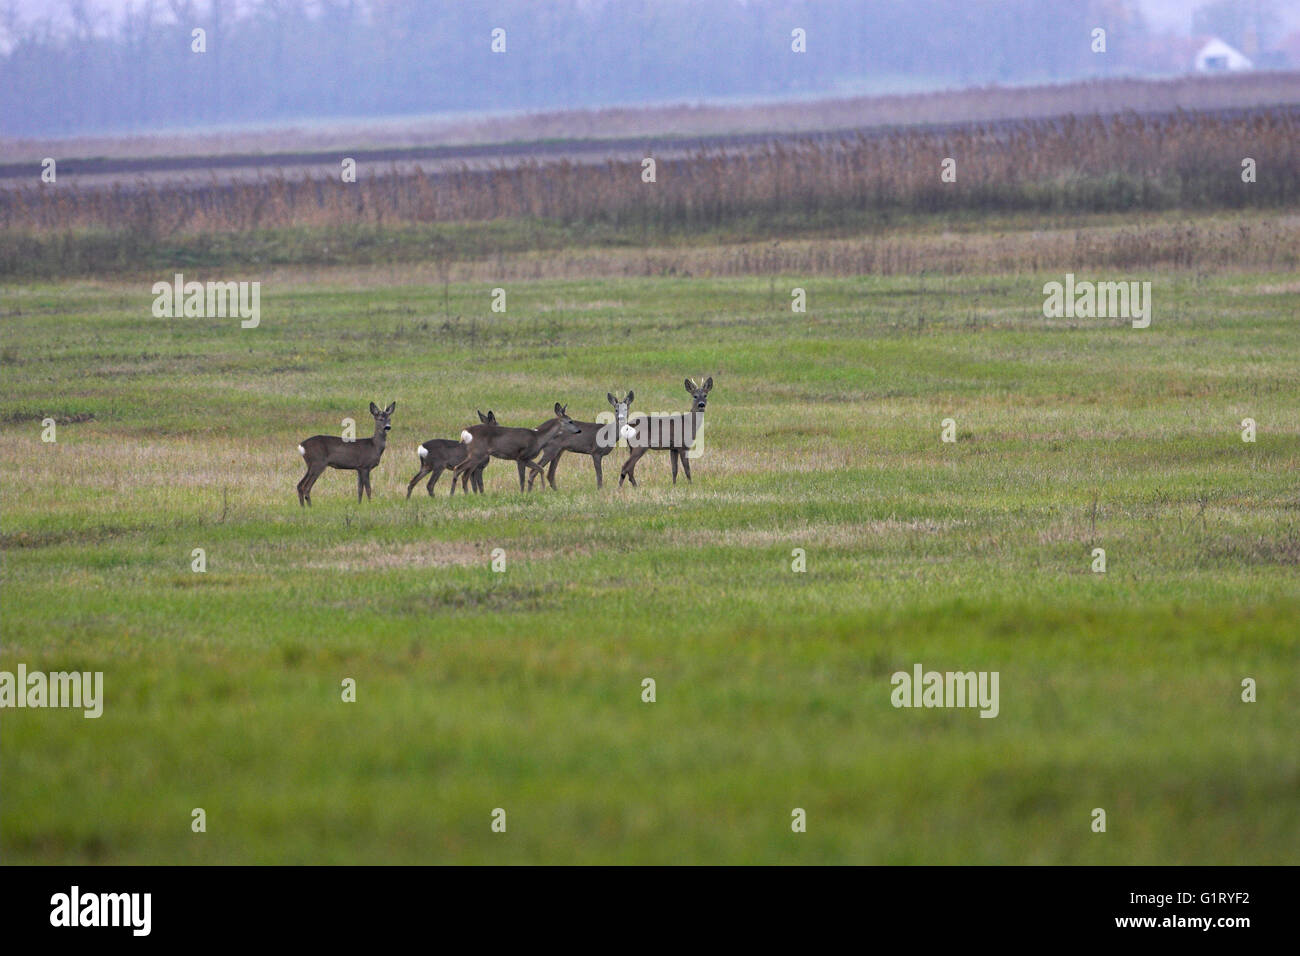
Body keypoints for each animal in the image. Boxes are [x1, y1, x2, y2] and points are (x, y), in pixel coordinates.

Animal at [452, 403, 585, 494]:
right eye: (570, 421)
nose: (579, 430)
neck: (538, 437)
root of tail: (464, 432)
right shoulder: (521, 457)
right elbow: (522, 479)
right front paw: (522, 493)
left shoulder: (527, 458)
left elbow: (540, 469)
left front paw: (541, 490)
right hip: (477, 453)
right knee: (459, 469)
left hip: (475, 454)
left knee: (461, 471)